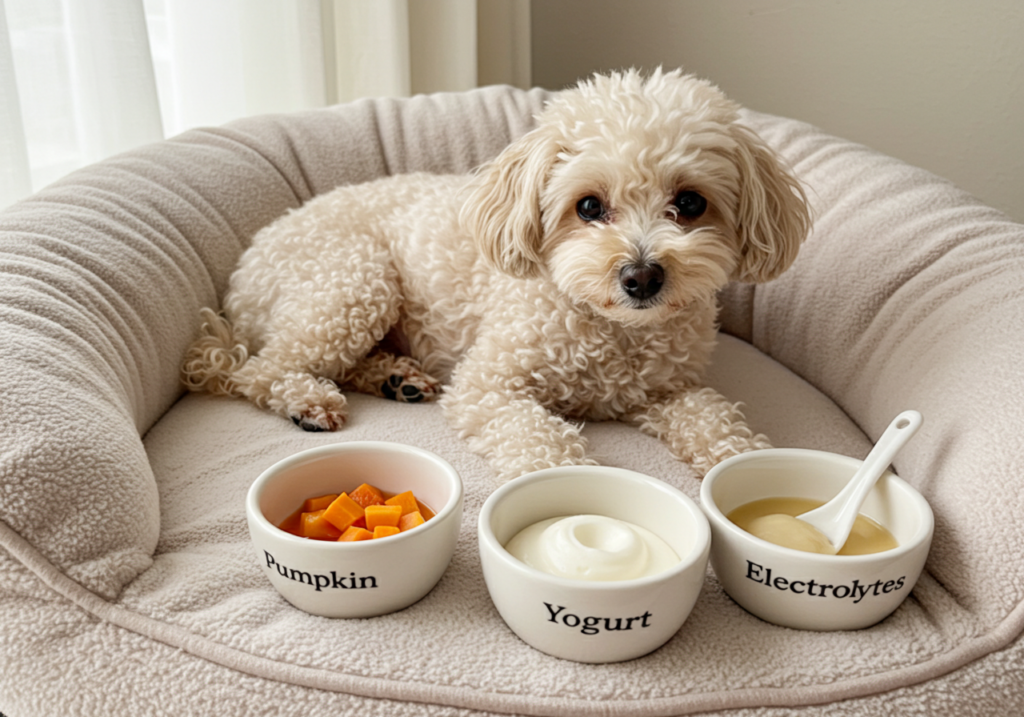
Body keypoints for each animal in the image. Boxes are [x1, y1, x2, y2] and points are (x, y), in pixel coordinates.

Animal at [182, 68, 806, 481]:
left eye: (691, 203)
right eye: (588, 207)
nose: (642, 276)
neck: (610, 328)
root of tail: (242, 277)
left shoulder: (666, 390)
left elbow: (713, 417)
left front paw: (742, 461)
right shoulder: (489, 386)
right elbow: (536, 434)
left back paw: (395, 378)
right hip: (355, 280)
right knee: (263, 369)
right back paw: (308, 398)